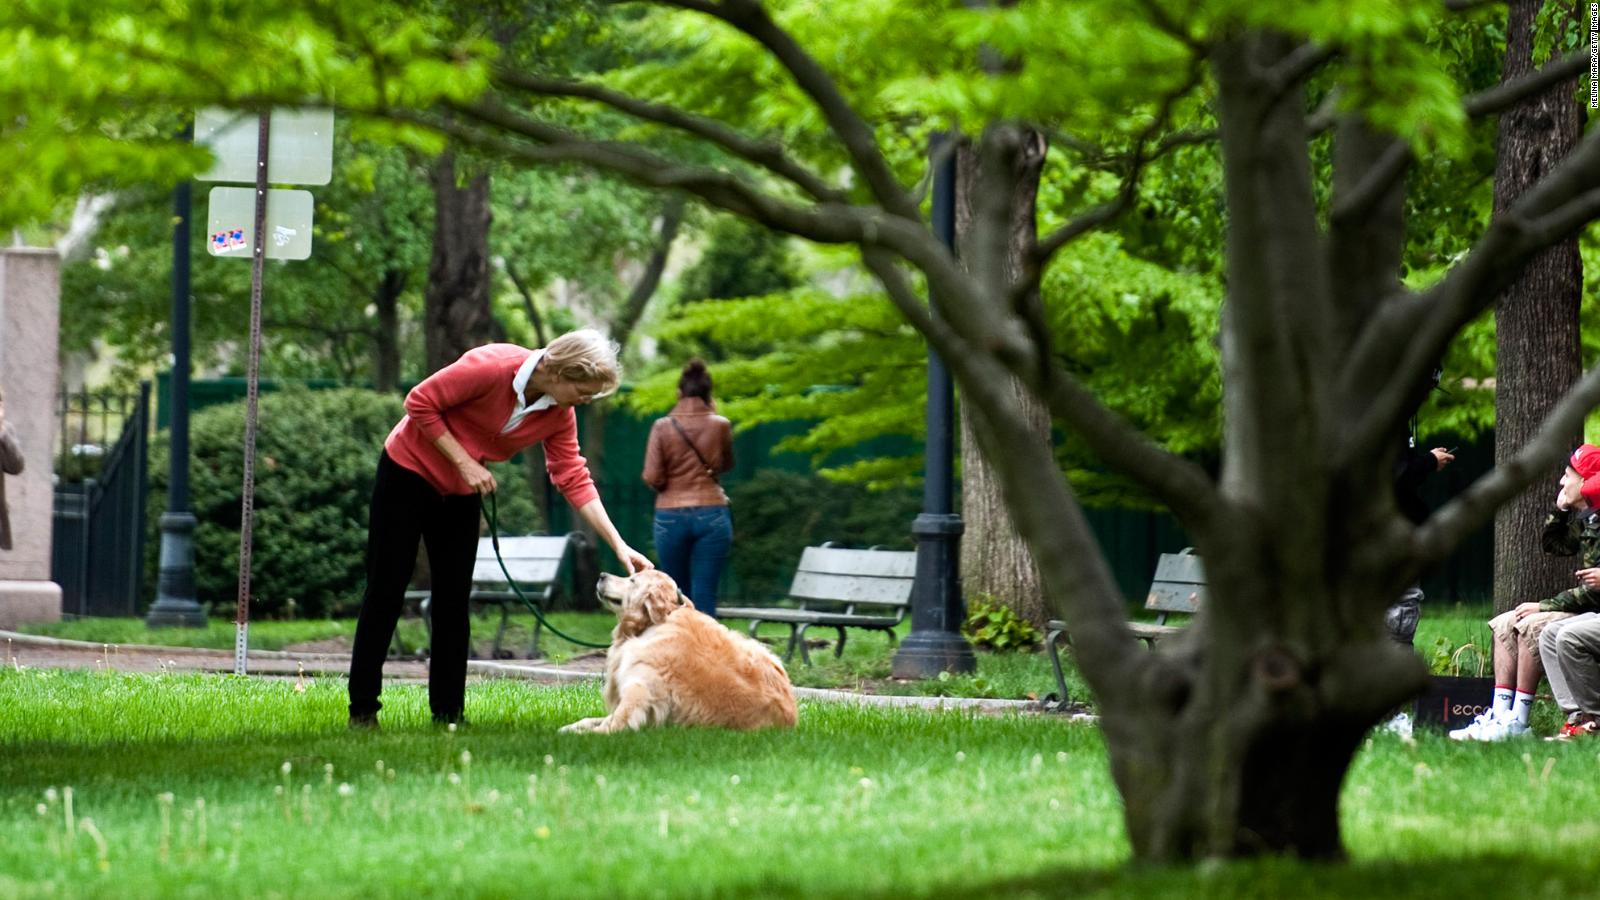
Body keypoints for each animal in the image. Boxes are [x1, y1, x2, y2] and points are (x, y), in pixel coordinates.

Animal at [560, 570, 800, 733]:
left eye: (632, 580)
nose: (602, 575)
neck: (651, 624)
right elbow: (591, 719)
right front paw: (571, 727)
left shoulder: (638, 689)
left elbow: (612, 724)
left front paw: (584, 736)